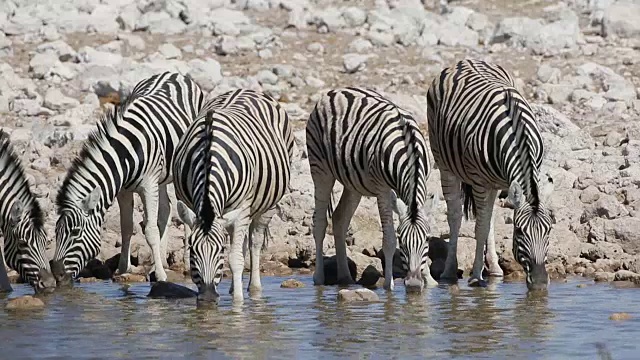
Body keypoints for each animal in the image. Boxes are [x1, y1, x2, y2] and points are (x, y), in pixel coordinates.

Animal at [51, 71, 204, 286]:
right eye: (56, 231)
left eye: (75, 232)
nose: (57, 274)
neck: (126, 154)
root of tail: (173, 73)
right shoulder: (123, 190)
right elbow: (126, 226)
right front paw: (123, 269)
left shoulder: (148, 185)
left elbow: (150, 230)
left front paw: (161, 276)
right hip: (162, 177)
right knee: (166, 209)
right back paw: (162, 260)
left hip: (182, 168)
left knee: (185, 210)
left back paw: (186, 261)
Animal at [172, 90, 292, 304]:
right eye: (193, 251)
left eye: (220, 250)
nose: (208, 298)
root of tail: (246, 90)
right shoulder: (188, 204)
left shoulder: (242, 208)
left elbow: (235, 258)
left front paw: (238, 302)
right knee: (242, 244)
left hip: (266, 206)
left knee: (254, 243)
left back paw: (253, 288)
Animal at [308, 87, 442, 292]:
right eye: (402, 241)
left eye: (427, 239)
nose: (412, 285)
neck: (408, 149)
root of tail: (336, 91)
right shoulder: (382, 190)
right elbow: (388, 239)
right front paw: (389, 285)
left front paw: (429, 280)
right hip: (320, 169)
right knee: (320, 222)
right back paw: (319, 278)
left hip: (353, 182)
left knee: (339, 219)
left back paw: (345, 277)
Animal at [428, 58, 556, 290]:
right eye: (519, 231)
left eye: (549, 230)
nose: (541, 283)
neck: (517, 134)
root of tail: (464, 61)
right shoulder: (479, 182)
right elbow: (479, 226)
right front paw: (475, 276)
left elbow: (487, 222)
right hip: (444, 164)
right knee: (456, 215)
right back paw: (450, 271)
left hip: (494, 181)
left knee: (490, 216)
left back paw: (495, 268)